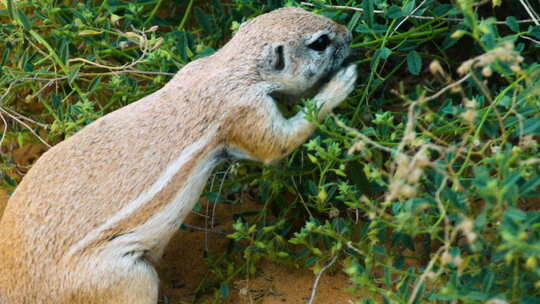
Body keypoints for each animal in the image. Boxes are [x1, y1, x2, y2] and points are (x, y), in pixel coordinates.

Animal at [0, 7, 356, 304]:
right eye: (320, 42)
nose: (350, 33)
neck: (227, 69)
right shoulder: (246, 112)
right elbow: (276, 144)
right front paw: (342, 84)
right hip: (130, 279)